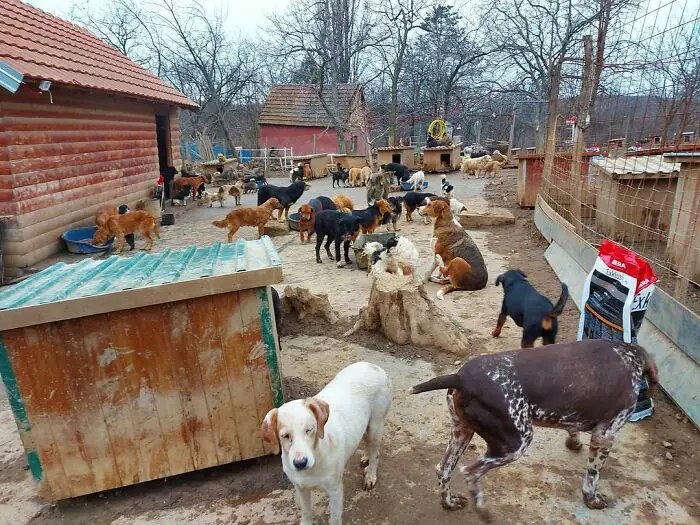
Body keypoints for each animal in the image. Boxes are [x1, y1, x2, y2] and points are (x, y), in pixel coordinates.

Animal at [264, 360, 394, 524]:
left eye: (309, 430)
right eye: (285, 436)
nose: (300, 463)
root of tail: (373, 365)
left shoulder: (335, 490)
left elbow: (335, 518)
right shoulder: (300, 487)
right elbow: (306, 512)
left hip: (376, 427)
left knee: (375, 452)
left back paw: (371, 474)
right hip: (366, 425)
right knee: (366, 442)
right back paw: (366, 457)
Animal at [410, 338, 656, 516]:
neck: (628, 356)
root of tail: (460, 377)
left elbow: (573, 429)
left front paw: (573, 441)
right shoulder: (604, 435)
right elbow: (593, 475)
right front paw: (592, 499)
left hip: (462, 432)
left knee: (444, 469)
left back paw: (449, 502)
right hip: (515, 443)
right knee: (470, 473)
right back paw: (482, 510)